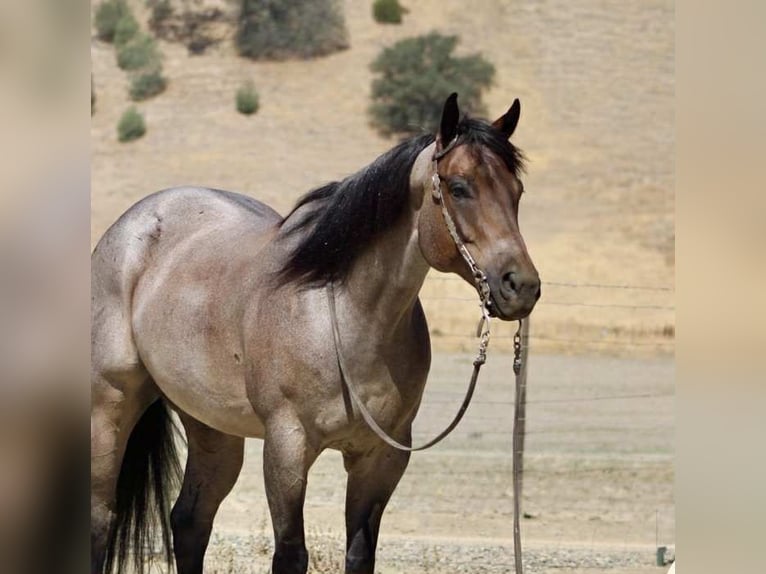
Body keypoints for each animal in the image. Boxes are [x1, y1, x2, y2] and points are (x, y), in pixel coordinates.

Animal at [90, 93, 540, 574]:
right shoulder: (287, 445)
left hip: (212, 426)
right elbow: (291, 553)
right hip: (110, 407)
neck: (346, 316)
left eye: (517, 192)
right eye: (459, 187)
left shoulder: (383, 457)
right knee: (101, 519)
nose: (521, 286)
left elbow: (360, 554)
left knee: (191, 522)